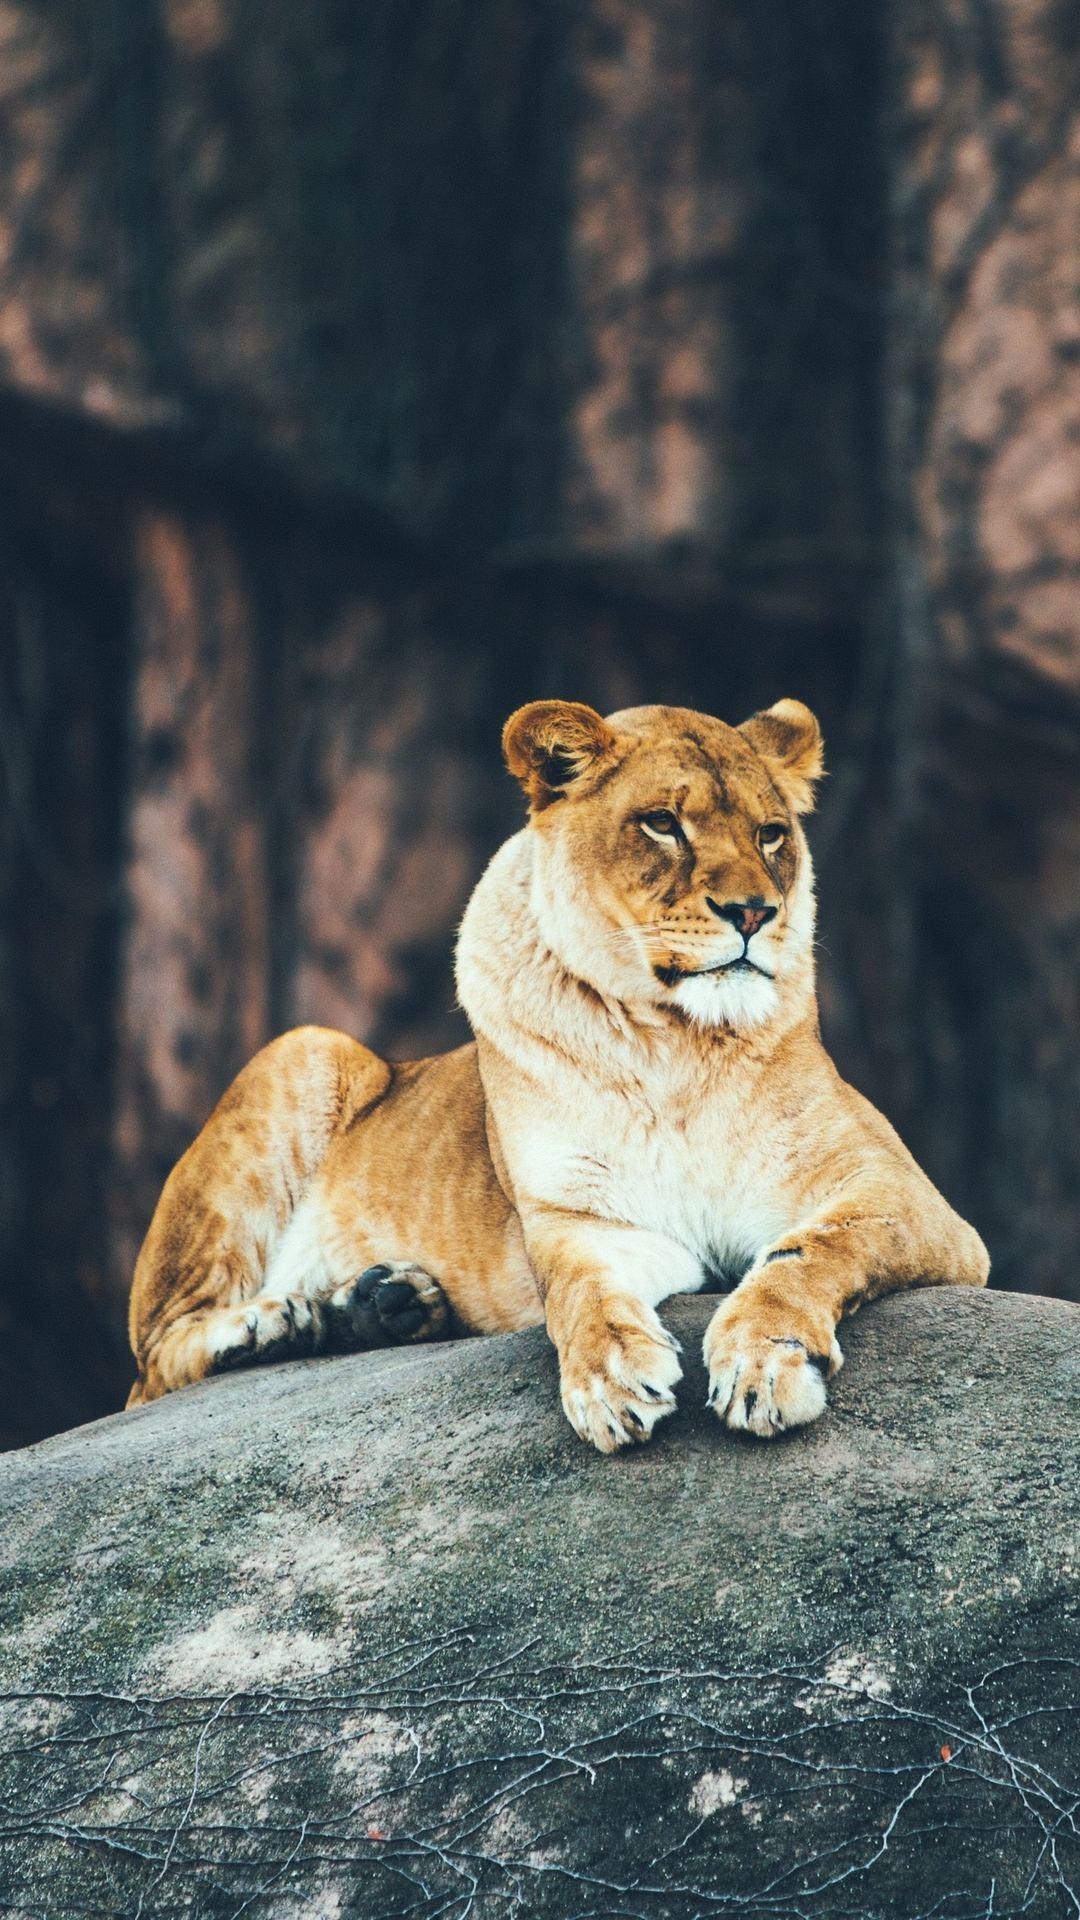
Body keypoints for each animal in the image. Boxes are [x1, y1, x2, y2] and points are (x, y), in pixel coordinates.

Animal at [128, 698, 989, 1447]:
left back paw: (378, 1305)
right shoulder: (579, 1216)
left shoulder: (907, 1199)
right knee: (155, 1363)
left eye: (772, 834)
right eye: (663, 823)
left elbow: (811, 1252)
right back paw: (275, 1320)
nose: (753, 912)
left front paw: (763, 1361)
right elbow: (580, 1293)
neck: (677, 1046)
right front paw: (610, 1382)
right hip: (304, 1049)